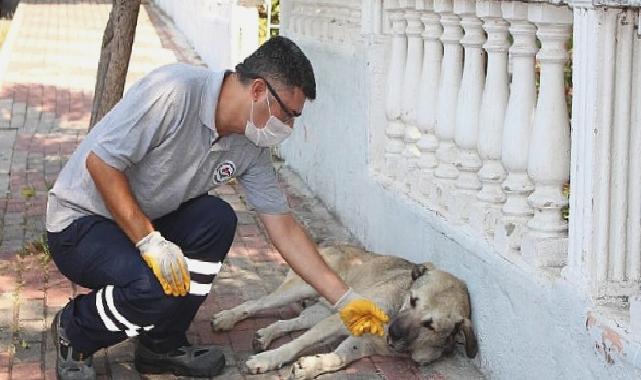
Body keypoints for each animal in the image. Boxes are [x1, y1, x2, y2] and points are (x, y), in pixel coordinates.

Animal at [210, 245, 476, 378]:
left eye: (430, 325)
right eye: (413, 300)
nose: (392, 333)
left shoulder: (365, 344)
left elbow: (339, 357)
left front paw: (313, 365)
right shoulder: (343, 321)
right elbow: (298, 344)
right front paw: (268, 360)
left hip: (320, 311)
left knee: (291, 323)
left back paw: (265, 335)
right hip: (300, 289)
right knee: (257, 304)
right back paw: (228, 318)